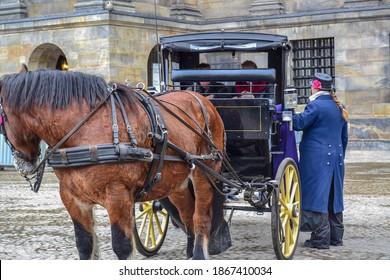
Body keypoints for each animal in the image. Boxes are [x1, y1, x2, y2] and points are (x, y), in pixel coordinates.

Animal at [0, 66, 225, 260]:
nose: (22, 164)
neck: (83, 129)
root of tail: (201, 99)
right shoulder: (72, 197)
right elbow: (84, 244)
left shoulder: (118, 196)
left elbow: (122, 246)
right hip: (175, 181)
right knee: (187, 214)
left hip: (206, 171)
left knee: (200, 216)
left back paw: (198, 255)